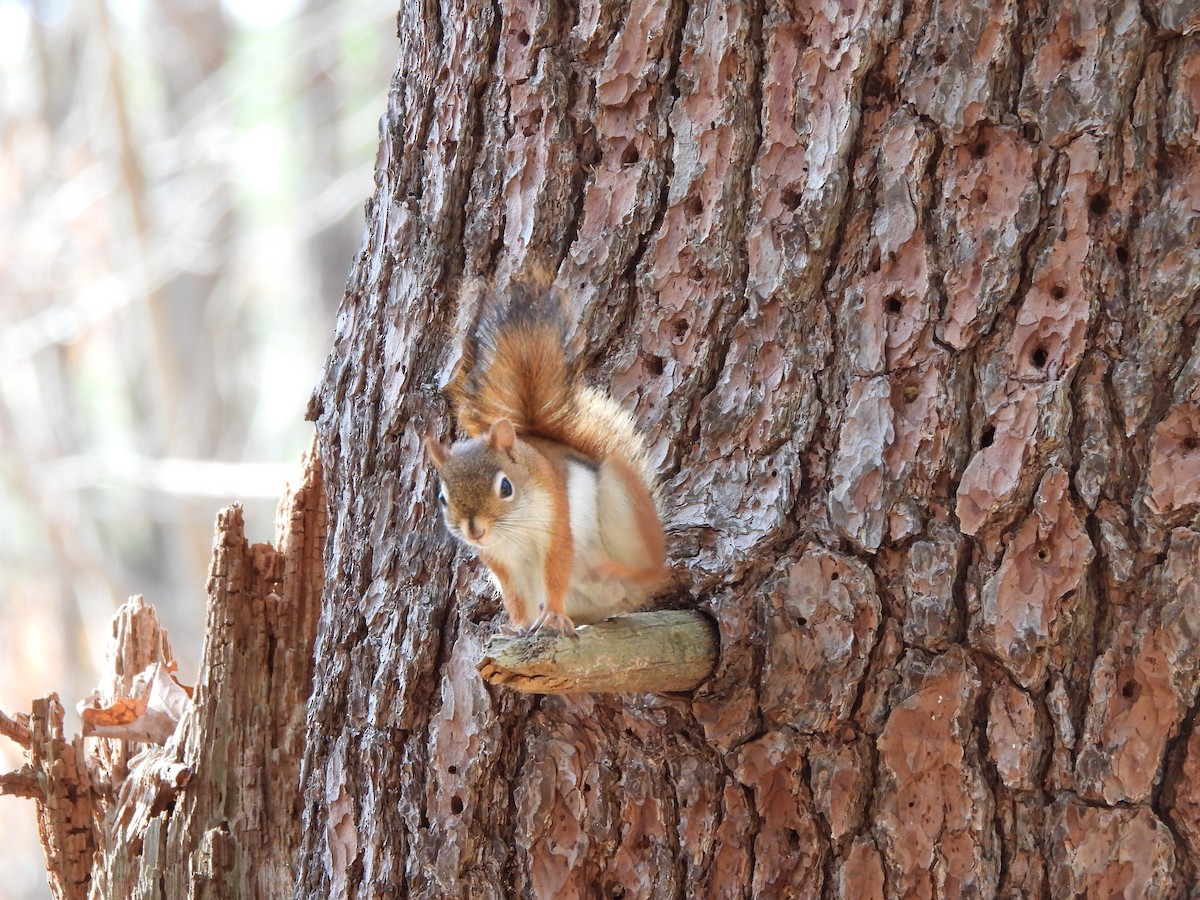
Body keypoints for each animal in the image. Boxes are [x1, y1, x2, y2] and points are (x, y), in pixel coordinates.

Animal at [425, 280, 668, 636]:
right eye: (442, 498)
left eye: (506, 487)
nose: (474, 531)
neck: (513, 528)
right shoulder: (500, 561)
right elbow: (513, 596)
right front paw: (517, 626)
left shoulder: (557, 526)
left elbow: (556, 570)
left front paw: (552, 615)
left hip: (622, 509)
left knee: (650, 573)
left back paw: (619, 574)